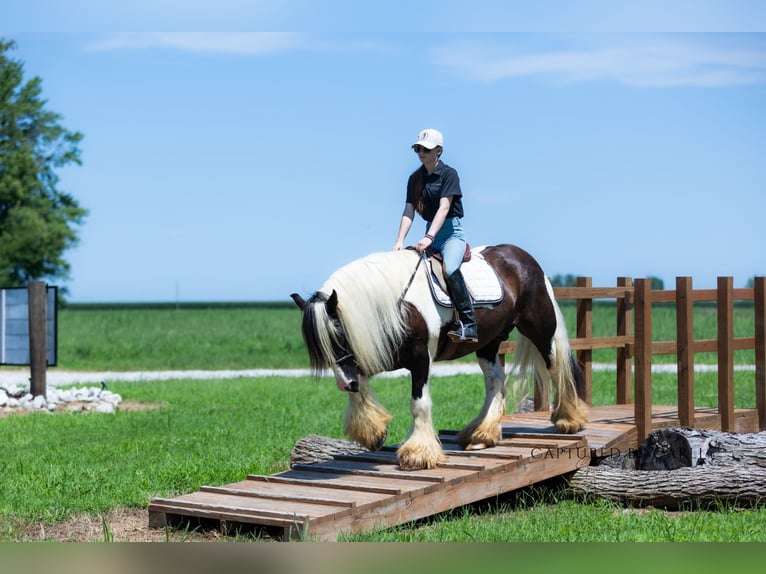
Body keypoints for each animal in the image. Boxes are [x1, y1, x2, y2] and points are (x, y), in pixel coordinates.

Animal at [290, 244, 588, 471]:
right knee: (495, 381)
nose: (343, 383)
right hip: (488, 343)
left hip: (540, 331)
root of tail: (525, 259)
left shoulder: (420, 358)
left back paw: (569, 419)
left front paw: (418, 454)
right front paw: (372, 432)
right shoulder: (371, 356)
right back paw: (482, 434)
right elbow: (360, 389)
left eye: (338, 335)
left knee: (557, 368)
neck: (397, 304)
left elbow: (418, 403)